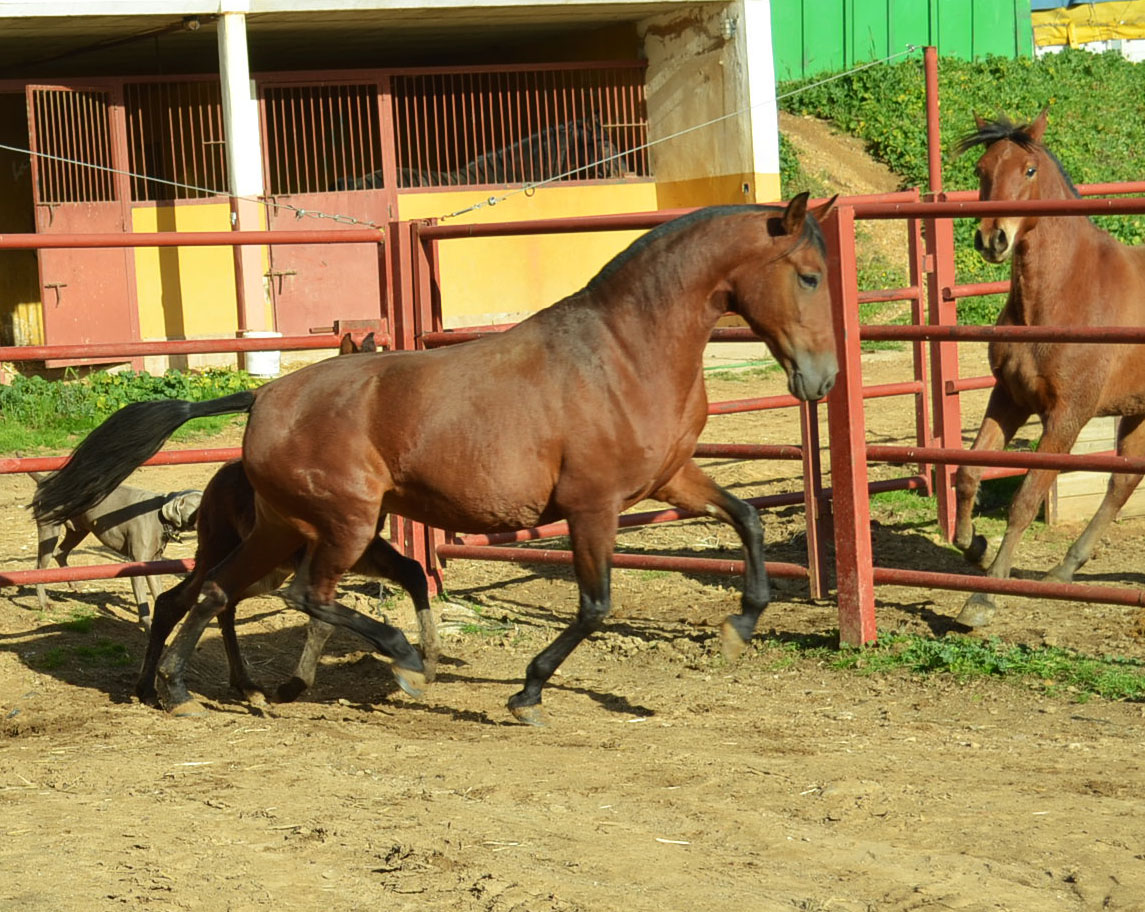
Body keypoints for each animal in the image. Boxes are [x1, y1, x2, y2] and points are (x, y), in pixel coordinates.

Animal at [33, 195, 842, 723]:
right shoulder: (592, 507)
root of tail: (262, 397)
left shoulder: (669, 479)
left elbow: (747, 518)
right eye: (808, 275)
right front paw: (526, 693)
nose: (822, 379)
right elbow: (595, 605)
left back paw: (182, 690)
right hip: (343, 524)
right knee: (300, 596)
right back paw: (399, 665)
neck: (622, 354)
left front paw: (740, 626)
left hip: (282, 527)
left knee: (208, 593)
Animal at [952, 110, 1145, 627]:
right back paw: (1064, 570)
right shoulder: (1009, 399)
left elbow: (1025, 499)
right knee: (1123, 482)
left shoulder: (1066, 418)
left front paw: (984, 597)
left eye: (1029, 171)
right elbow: (969, 472)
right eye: (981, 169)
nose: (992, 238)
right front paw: (974, 545)